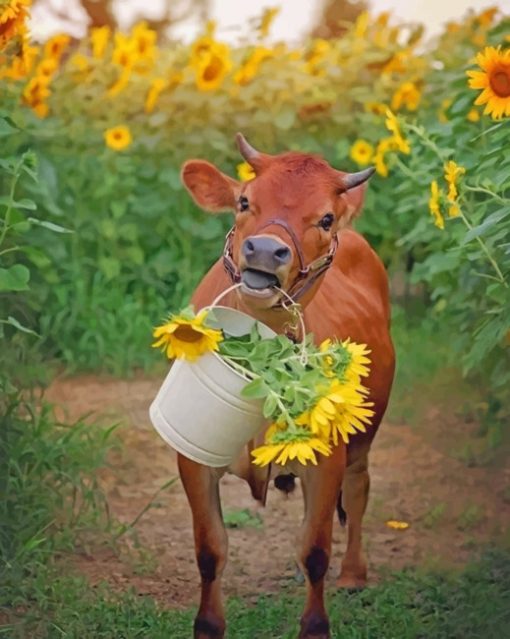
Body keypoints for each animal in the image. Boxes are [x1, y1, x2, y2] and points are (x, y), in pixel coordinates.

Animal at [177, 135, 396, 639]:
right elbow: (210, 550)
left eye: (325, 218)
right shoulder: (193, 457)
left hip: (365, 432)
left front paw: (315, 625)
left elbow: (316, 550)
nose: (263, 251)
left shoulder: (327, 459)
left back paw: (353, 573)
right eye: (244, 201)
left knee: (358, 490)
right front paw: (207, 625)